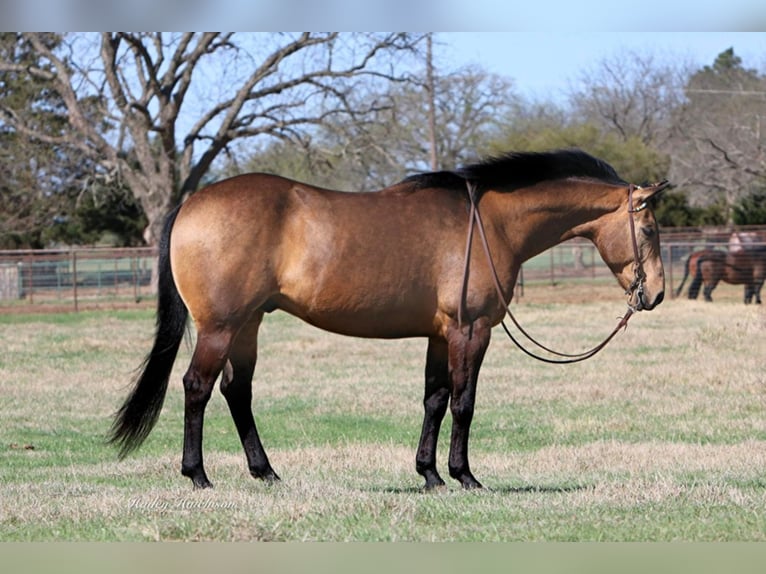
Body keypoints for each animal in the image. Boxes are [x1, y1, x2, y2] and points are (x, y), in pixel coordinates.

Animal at [109, 148, 672, 490]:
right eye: (648, 229)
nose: (657, 294)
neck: (489, 224)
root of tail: (190, 205)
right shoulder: (471, 331)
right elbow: (464, 404)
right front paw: (465, 476)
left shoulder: (441, 336)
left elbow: (435, 400)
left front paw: (430, 475)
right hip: (220, 327)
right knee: (197, 387)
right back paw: (198, 474)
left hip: (247, 326)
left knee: (236, 392)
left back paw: (265, 472)